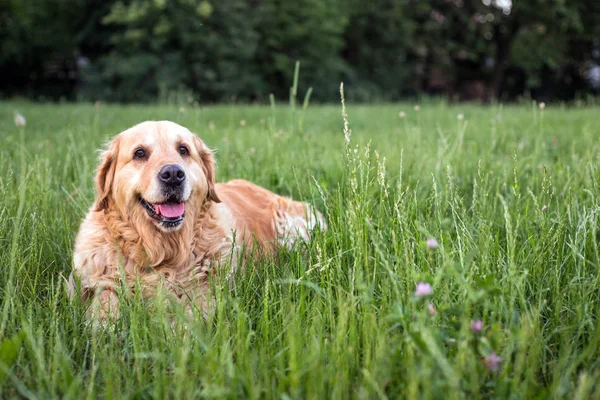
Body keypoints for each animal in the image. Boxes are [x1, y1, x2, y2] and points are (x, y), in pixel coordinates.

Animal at [69, 120, 328, 320]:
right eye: (139, 153)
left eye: (183, 150)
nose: (173, 174)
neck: (162, 251)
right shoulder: (92, 282)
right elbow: (105, 302)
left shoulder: (207, 290)